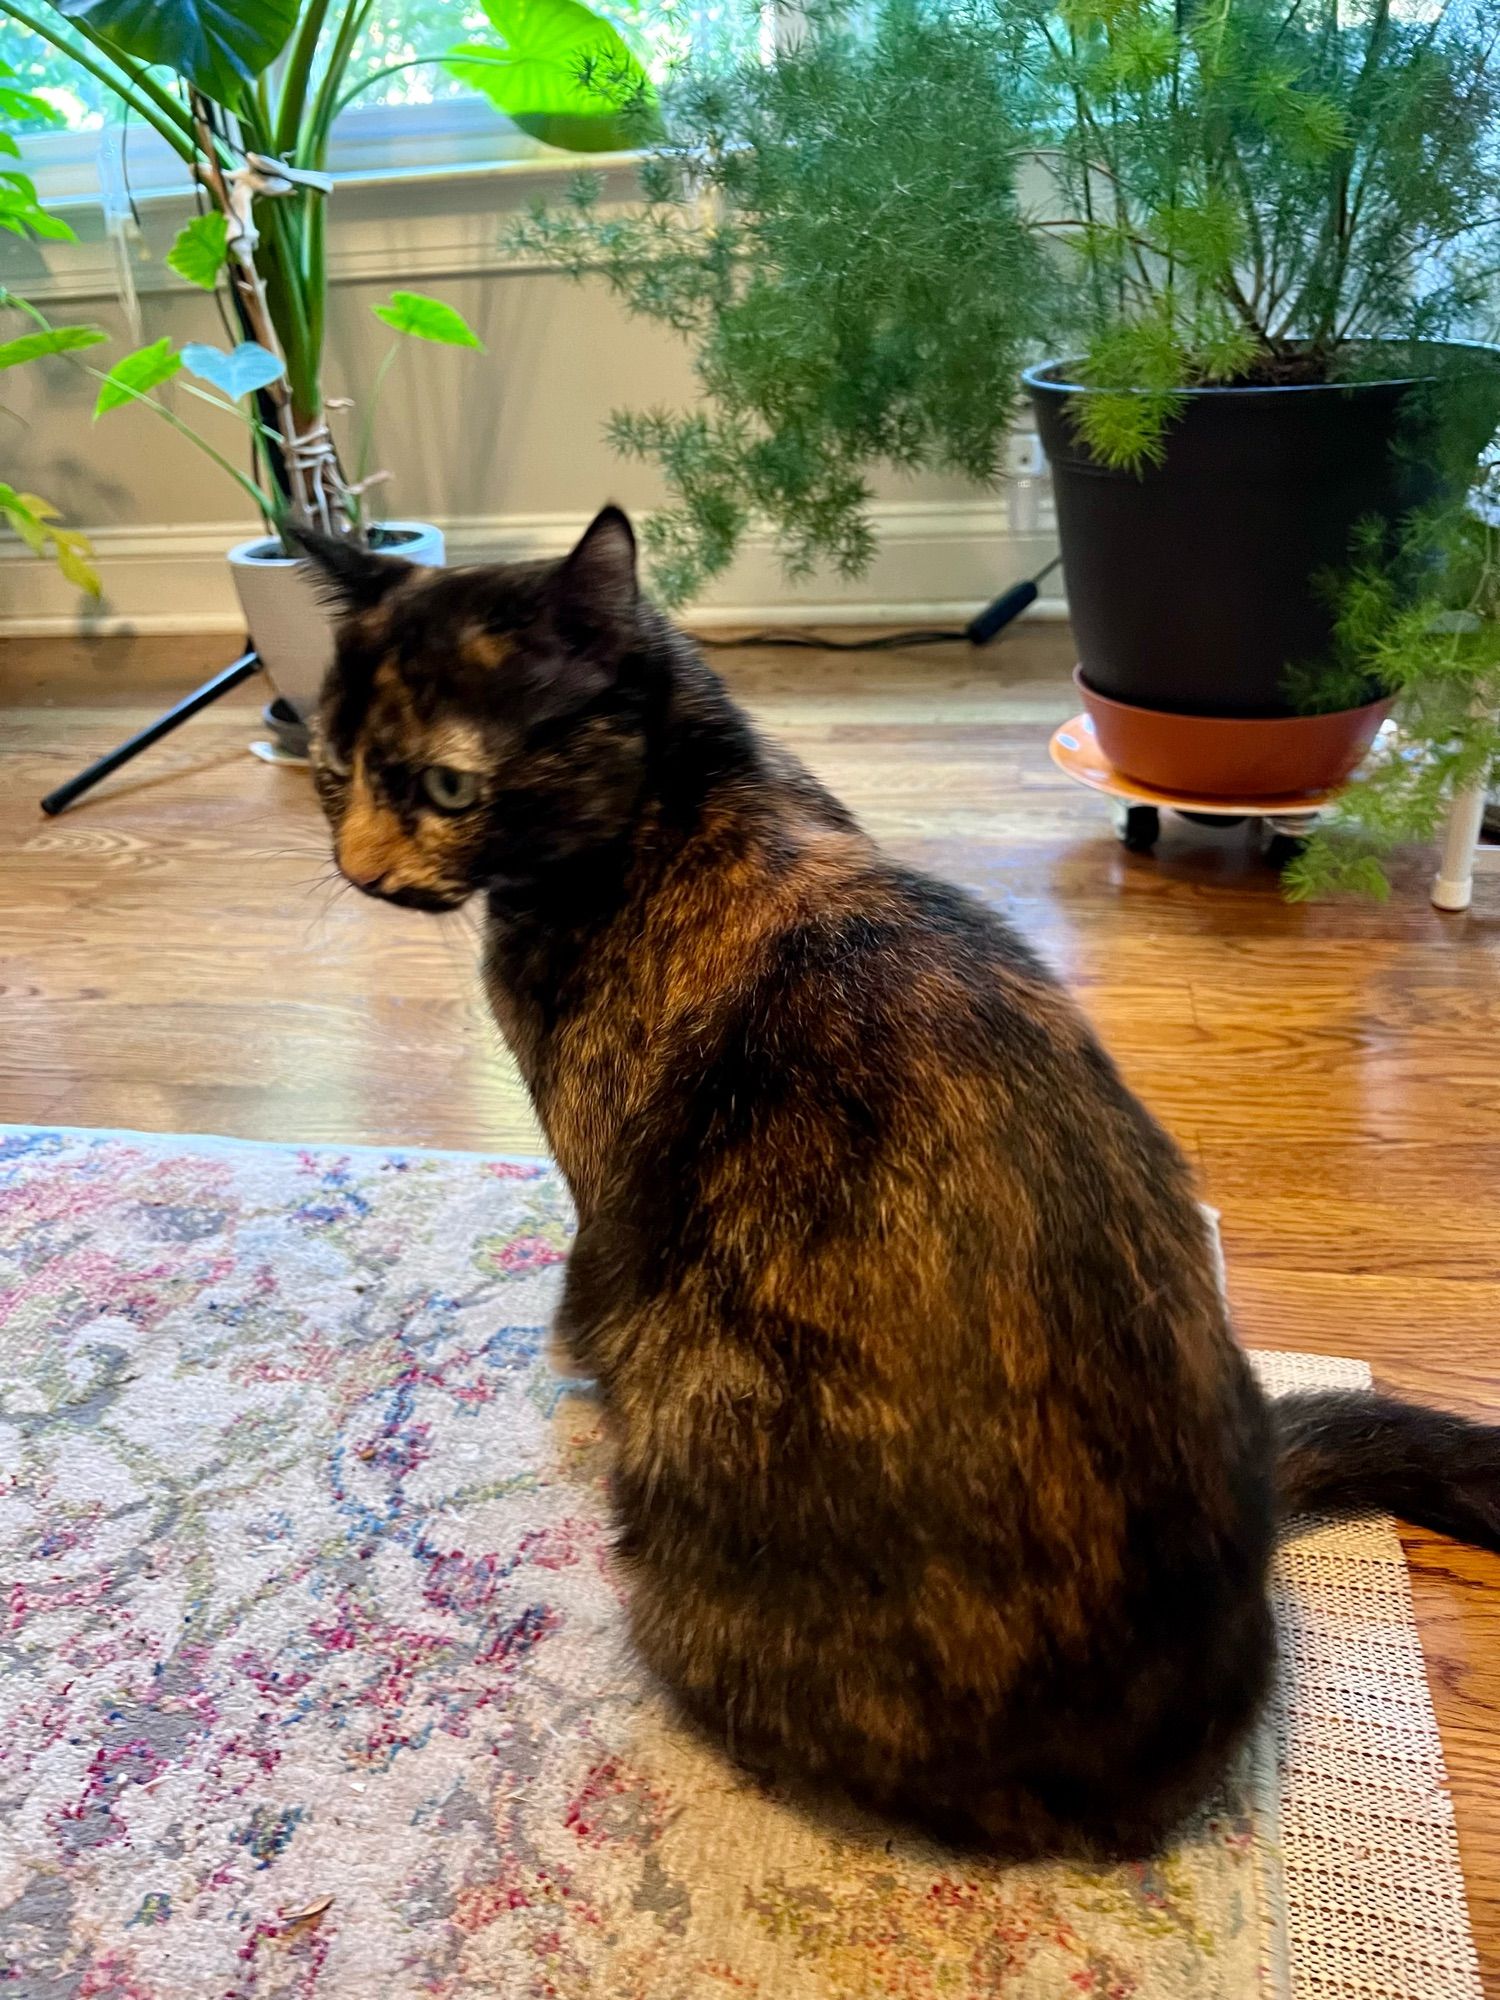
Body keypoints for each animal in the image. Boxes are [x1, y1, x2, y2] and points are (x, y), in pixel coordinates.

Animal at [300, 512, 1500, 1856]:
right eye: (332, 773)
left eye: (448, 786)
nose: (359, 870)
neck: (692, 796)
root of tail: (1136, 1773)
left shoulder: (602, 1188)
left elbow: (581, 1290)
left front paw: (567, 1366)